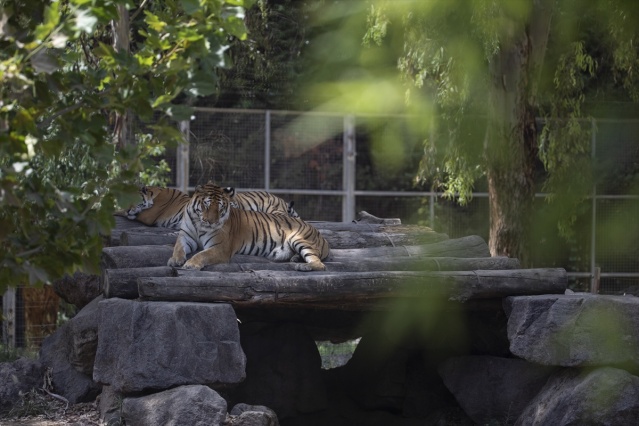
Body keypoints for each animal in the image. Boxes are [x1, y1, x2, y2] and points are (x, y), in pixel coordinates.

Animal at [168, 182, 330, 270]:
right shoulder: (185, 236)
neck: (199, 224)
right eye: (206, 205)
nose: (211, 222)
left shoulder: (220, 247)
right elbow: (178, 248)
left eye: (220, 208)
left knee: (320, 263)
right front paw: (175, 260)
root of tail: (320, 235)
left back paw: (303, 266)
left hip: (299, 239)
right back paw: (296, 259)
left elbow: (202, 254)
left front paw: (191, 264)